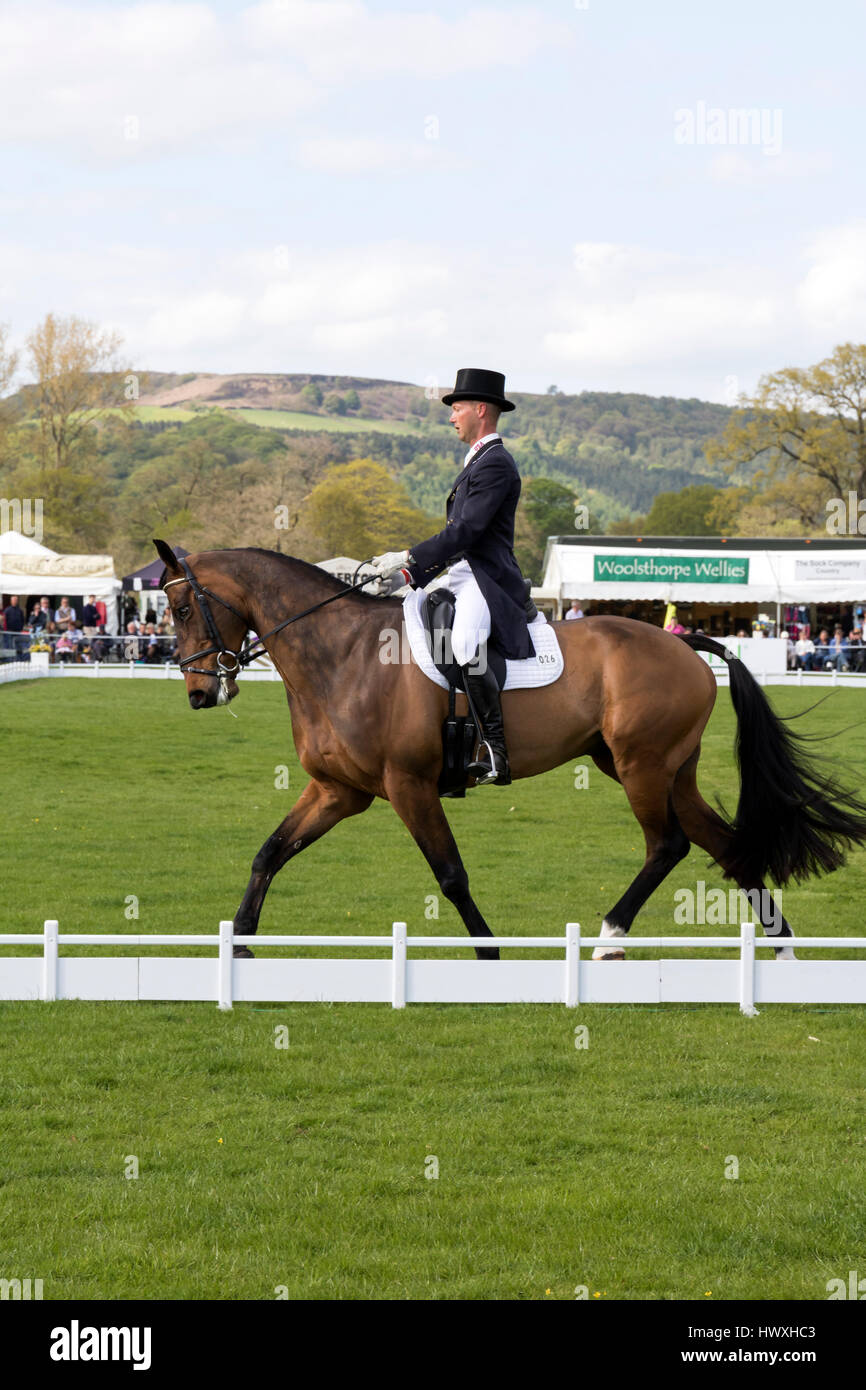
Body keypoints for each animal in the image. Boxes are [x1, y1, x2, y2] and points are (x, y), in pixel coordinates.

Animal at [152, 536, 866, 961]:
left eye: (183, 609)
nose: (198, 693)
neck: (342, 655)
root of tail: (684, 643)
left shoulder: (408, 786)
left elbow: (451, 873)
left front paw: (489, 952)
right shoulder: (339, 791)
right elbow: (269, 852)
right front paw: (240, 946)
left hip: (641, 766)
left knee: (668, 846)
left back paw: (609, 938)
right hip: (660, 770)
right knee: (724, 844)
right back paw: (779, 951)